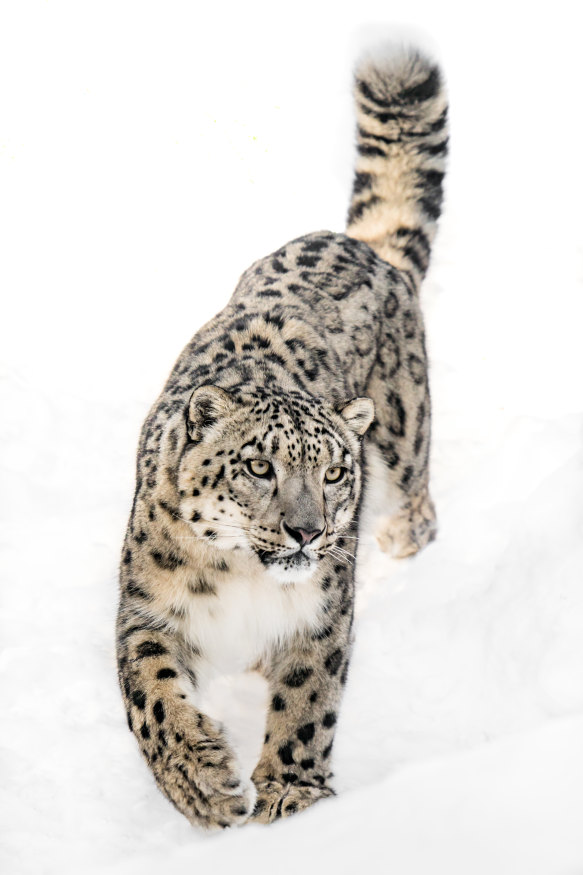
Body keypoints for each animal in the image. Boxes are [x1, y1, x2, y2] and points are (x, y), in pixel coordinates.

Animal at [116, 48, 450, 828]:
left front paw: (292, 799)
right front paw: (204, 783)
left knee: (419, 501)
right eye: (259, 466)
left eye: (333, 472)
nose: (307, 530)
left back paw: (402, 538)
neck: (245, 578)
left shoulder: (322, 615)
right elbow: (151, 697)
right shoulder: (146, 610)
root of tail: (358, 247)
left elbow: (306, 703)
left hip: (403, 434)